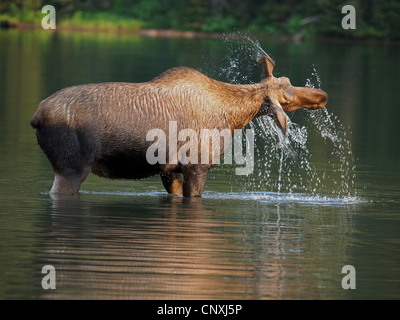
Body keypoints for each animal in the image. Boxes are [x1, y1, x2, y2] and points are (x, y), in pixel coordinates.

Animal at [30, 55, 324, 198]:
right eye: (287, 97)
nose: (322, 97)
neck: (233, 119)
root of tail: (36, 117)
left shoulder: (169, 171)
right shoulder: (198, 165)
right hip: (72, 167)